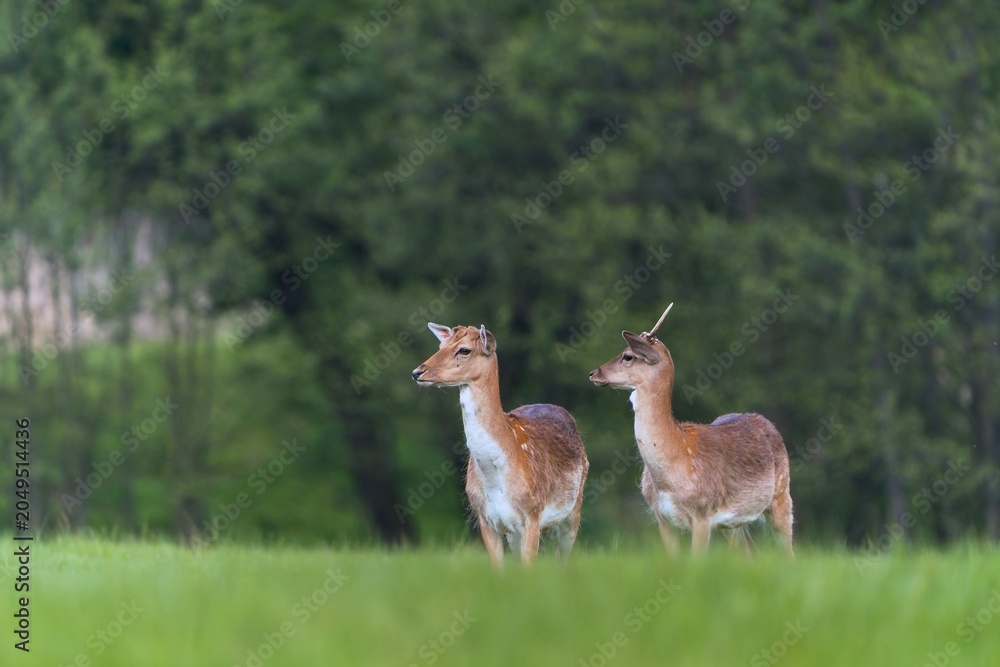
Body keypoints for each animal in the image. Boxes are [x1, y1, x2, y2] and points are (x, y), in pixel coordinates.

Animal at [412, 323, 589, 567]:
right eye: (441, 346)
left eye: (464, 350)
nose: (418, 372)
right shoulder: (486, 519)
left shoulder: (532, 515)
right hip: (514, 532)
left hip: (574, 509)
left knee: (564, 558)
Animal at [589, 304, 793, 556]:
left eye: (627, 355)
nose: (594, 373)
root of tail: (765, 422)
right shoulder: (663, 517)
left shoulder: (703, 514)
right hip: (734, 523)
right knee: (748, 552)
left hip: (782, 497)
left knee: (789, 552)